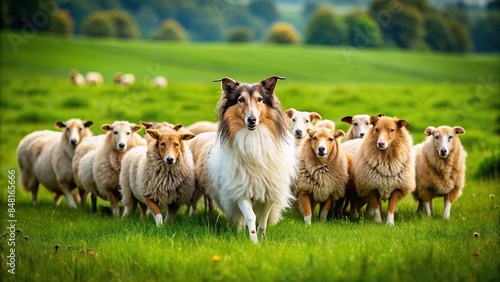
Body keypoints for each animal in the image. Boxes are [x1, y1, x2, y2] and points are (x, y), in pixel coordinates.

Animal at [208, 76, 296, 243]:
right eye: (240, 99)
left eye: (260, 99)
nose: (252, 120)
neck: (253, 137)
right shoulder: (241, 191)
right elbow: (250, 217)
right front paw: (254, 242)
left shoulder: (270, 191)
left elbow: (263, 218)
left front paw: (262, 237)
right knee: (240, 218)